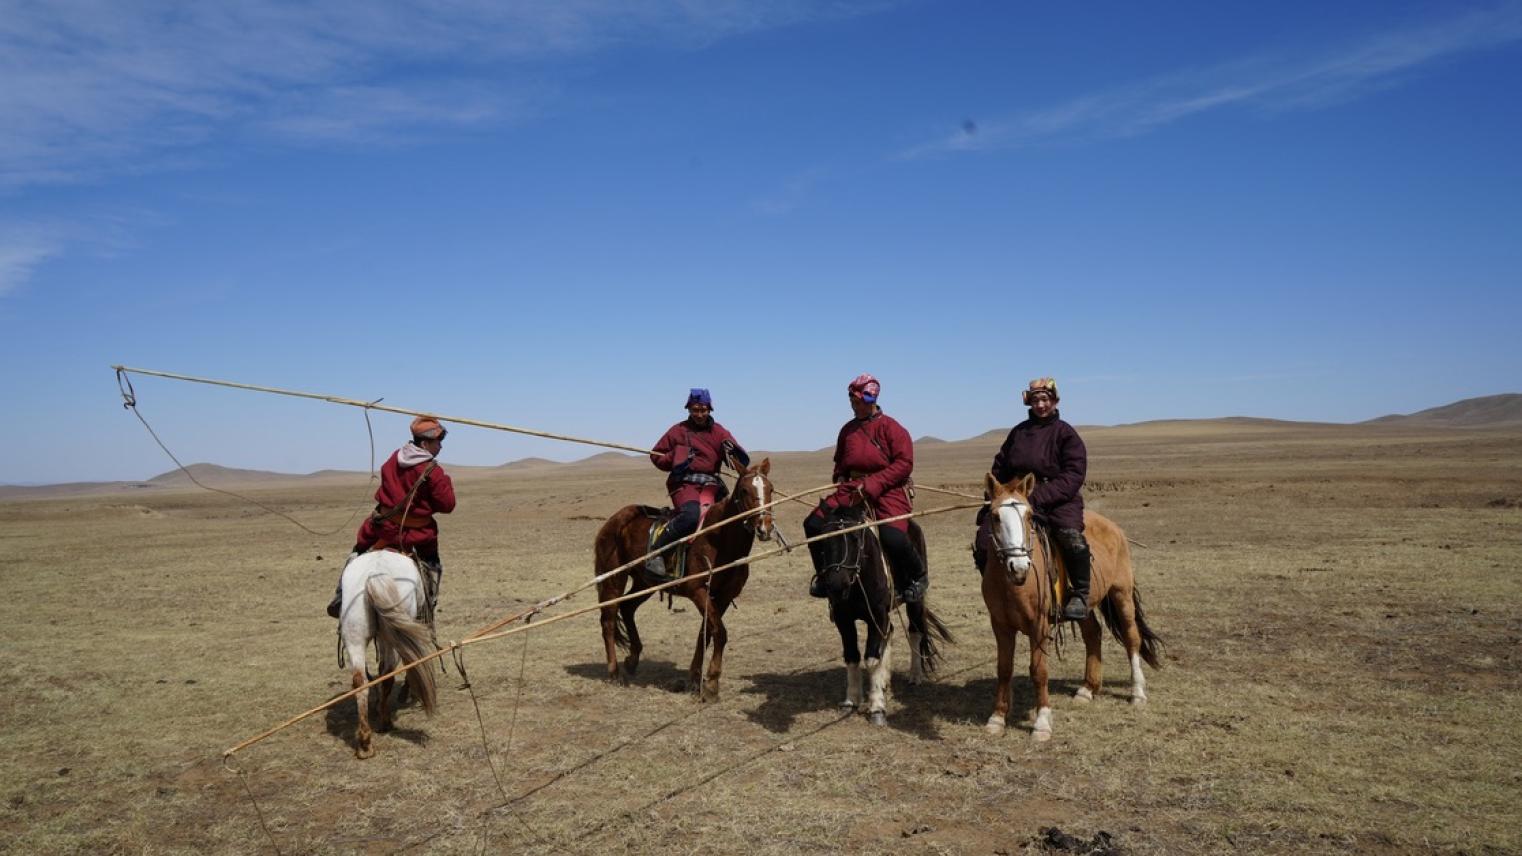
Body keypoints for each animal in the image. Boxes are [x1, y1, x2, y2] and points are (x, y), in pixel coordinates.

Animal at [339, 545, 441, 752]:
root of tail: (374, 574)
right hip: (392, 638)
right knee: (387, 675)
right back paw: (385, 722)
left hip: (354, 635)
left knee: (360, 680)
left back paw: (365, 741)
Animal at [593, 456, 779, 697]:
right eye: (745, 490)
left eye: (770, 489)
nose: (765, 528)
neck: (718, 539)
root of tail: (613, 520)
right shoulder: (698, 590)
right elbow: (719, 632)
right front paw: (711, 682)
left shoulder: (723, 596)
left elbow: (706, 633)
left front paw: (694, 678)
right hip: (614, 579)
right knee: (608, 620)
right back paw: (614, 673)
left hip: (644, 582)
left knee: (627, 608)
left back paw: (632, 659)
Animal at [809, 502, 949, 721]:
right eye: (823, 539)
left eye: (855, 538)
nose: (836, 585)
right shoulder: (843, 619)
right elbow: (852, 656)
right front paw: (851, 700)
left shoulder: (877, 615)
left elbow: (872, 659)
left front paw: (876, 706)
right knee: (889, 632)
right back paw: (884, 680)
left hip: (915, 602)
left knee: (915, 631)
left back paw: (915, 675)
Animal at [980, 469, 1156, 737]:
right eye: (995, 516)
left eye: (1029, 515)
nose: (1018, 567)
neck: (1014, 585)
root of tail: (1114, 528)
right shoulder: (1000, 625)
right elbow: (1004, 668)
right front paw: (997, 718)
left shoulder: (1039, 625)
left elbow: (1039, 670)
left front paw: (1042, 722)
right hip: (1083, 605)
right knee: (1093, 633)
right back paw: (1087, 689)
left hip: (1121, 594)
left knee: (1131, 638)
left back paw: (1137, 693)